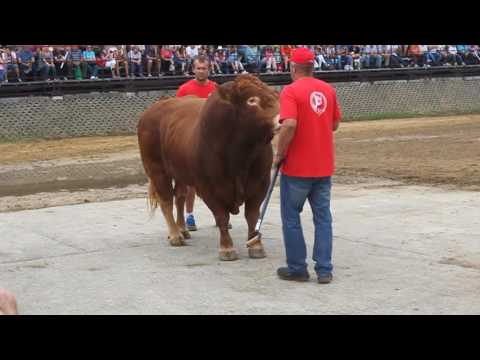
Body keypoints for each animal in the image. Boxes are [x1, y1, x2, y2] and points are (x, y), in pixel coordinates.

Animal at [137, 74, 280, 260]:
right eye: (252, 100)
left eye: (275, 94)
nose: (282, 119)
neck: (239, 155)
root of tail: (154, 109)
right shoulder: (208, 188)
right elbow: (221, 217)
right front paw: (227, 248)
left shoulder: (260, 184)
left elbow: (253, 215)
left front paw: (255, 245)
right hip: (156, 170)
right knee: (166, 201)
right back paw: (175, 235)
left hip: (180, 172)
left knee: (180, 197)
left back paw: (182, 229)